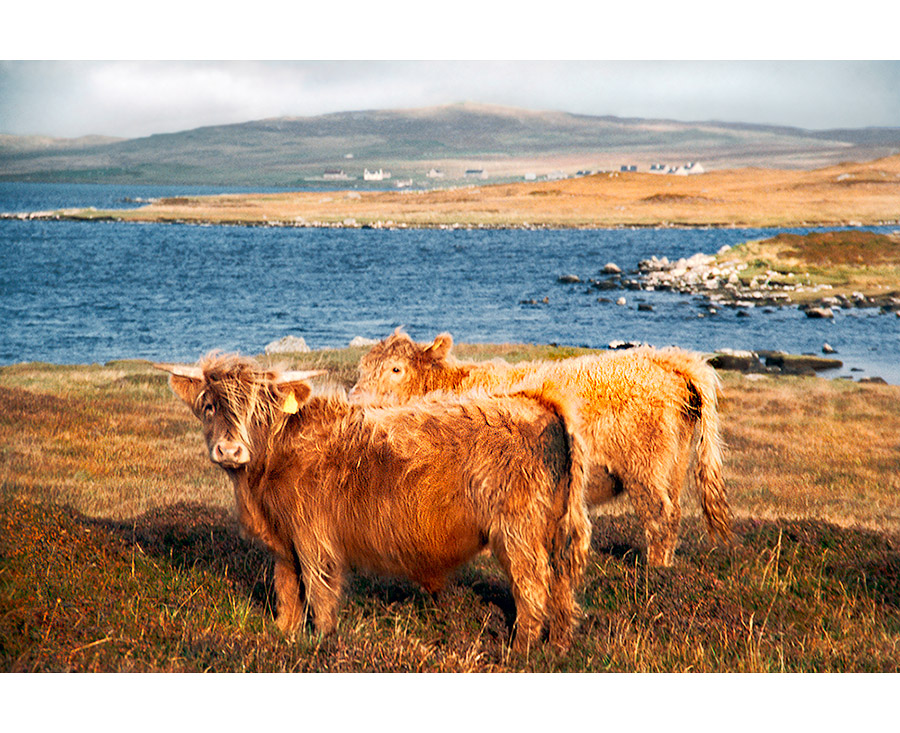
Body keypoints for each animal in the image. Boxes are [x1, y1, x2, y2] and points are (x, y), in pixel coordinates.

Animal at [156, 352, 592, 648]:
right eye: (209, 406)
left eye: (259, 411)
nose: (229, 450)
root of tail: (539, 402)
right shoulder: (283, 542)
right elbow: (287, 589)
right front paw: (285, 635)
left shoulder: (314, 538)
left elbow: (318, 590)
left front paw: (323, 641)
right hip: (553, 532)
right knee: (562, 587)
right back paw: (557, 647)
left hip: (518, 533)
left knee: (533, 587)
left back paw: (521, 650)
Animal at [352, 330, 732, 568]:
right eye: (362, 368)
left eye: (396, 369)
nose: (356, 399)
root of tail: (664, 360)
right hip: (673, 464)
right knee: (674, 513)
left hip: (643, 465)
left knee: (659, 515)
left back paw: (654, 573)